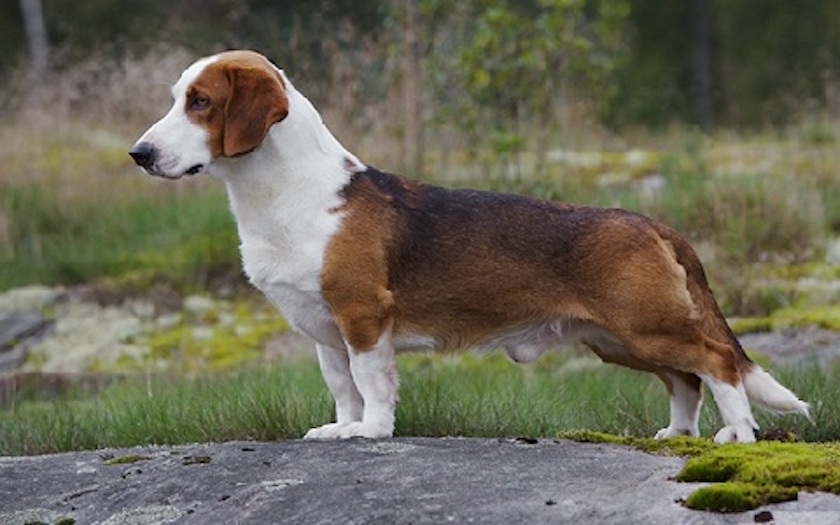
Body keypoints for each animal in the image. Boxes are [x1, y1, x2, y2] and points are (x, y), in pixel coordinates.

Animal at [130, 50, 808, 442]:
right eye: (179, 98)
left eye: (201, 102)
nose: (139, 154)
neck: (288, 192)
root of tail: (653, 223)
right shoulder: (323, 328)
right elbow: (341, 386)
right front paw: (340, 428)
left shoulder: (362, 317)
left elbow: (371, 382)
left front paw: (371, 432)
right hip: (620, 340)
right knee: (685, 379)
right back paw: (675, 435)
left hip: (646, 326)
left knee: (716, 363)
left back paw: (736, 435)